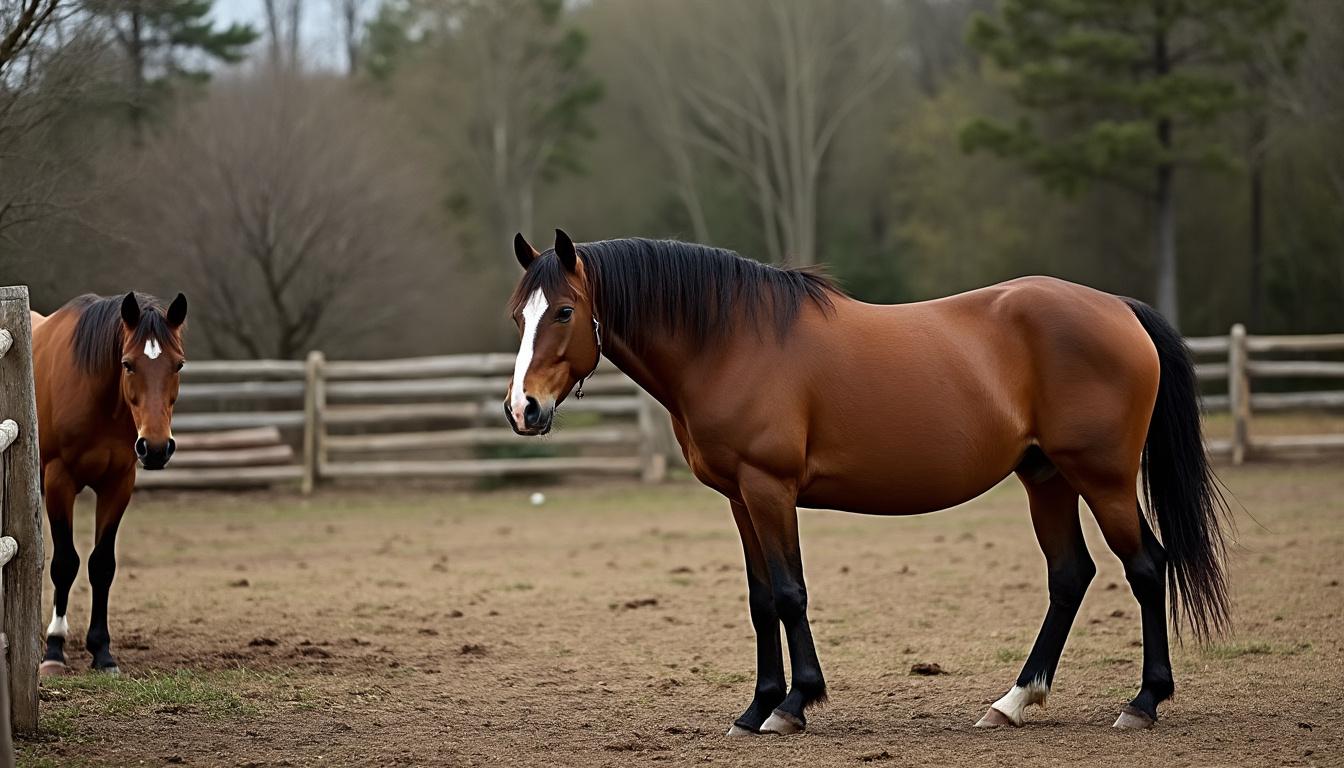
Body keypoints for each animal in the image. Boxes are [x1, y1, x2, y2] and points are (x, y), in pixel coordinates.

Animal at [32, 292, 188, 675]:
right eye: (128, 364)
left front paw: (101, 651)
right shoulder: (58, 481)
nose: (157, 448)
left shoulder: (118, 483)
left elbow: (101, 564)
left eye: (178, 365)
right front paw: (54, 648)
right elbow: (65, 563)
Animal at [504, 230, 1229, 735]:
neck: (730, 340)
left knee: (1146, 565)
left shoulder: (769, 489)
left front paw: (793, 705)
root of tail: (1119, 309)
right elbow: (760, 600)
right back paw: (1013, 701)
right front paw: (756, 707)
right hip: (1045, 475)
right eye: (519, 316)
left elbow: (789, 593)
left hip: (1102, 477)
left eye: (563, 312)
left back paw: (1144, 701)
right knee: (1070, 575)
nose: (523, 410)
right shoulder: (740, 498)